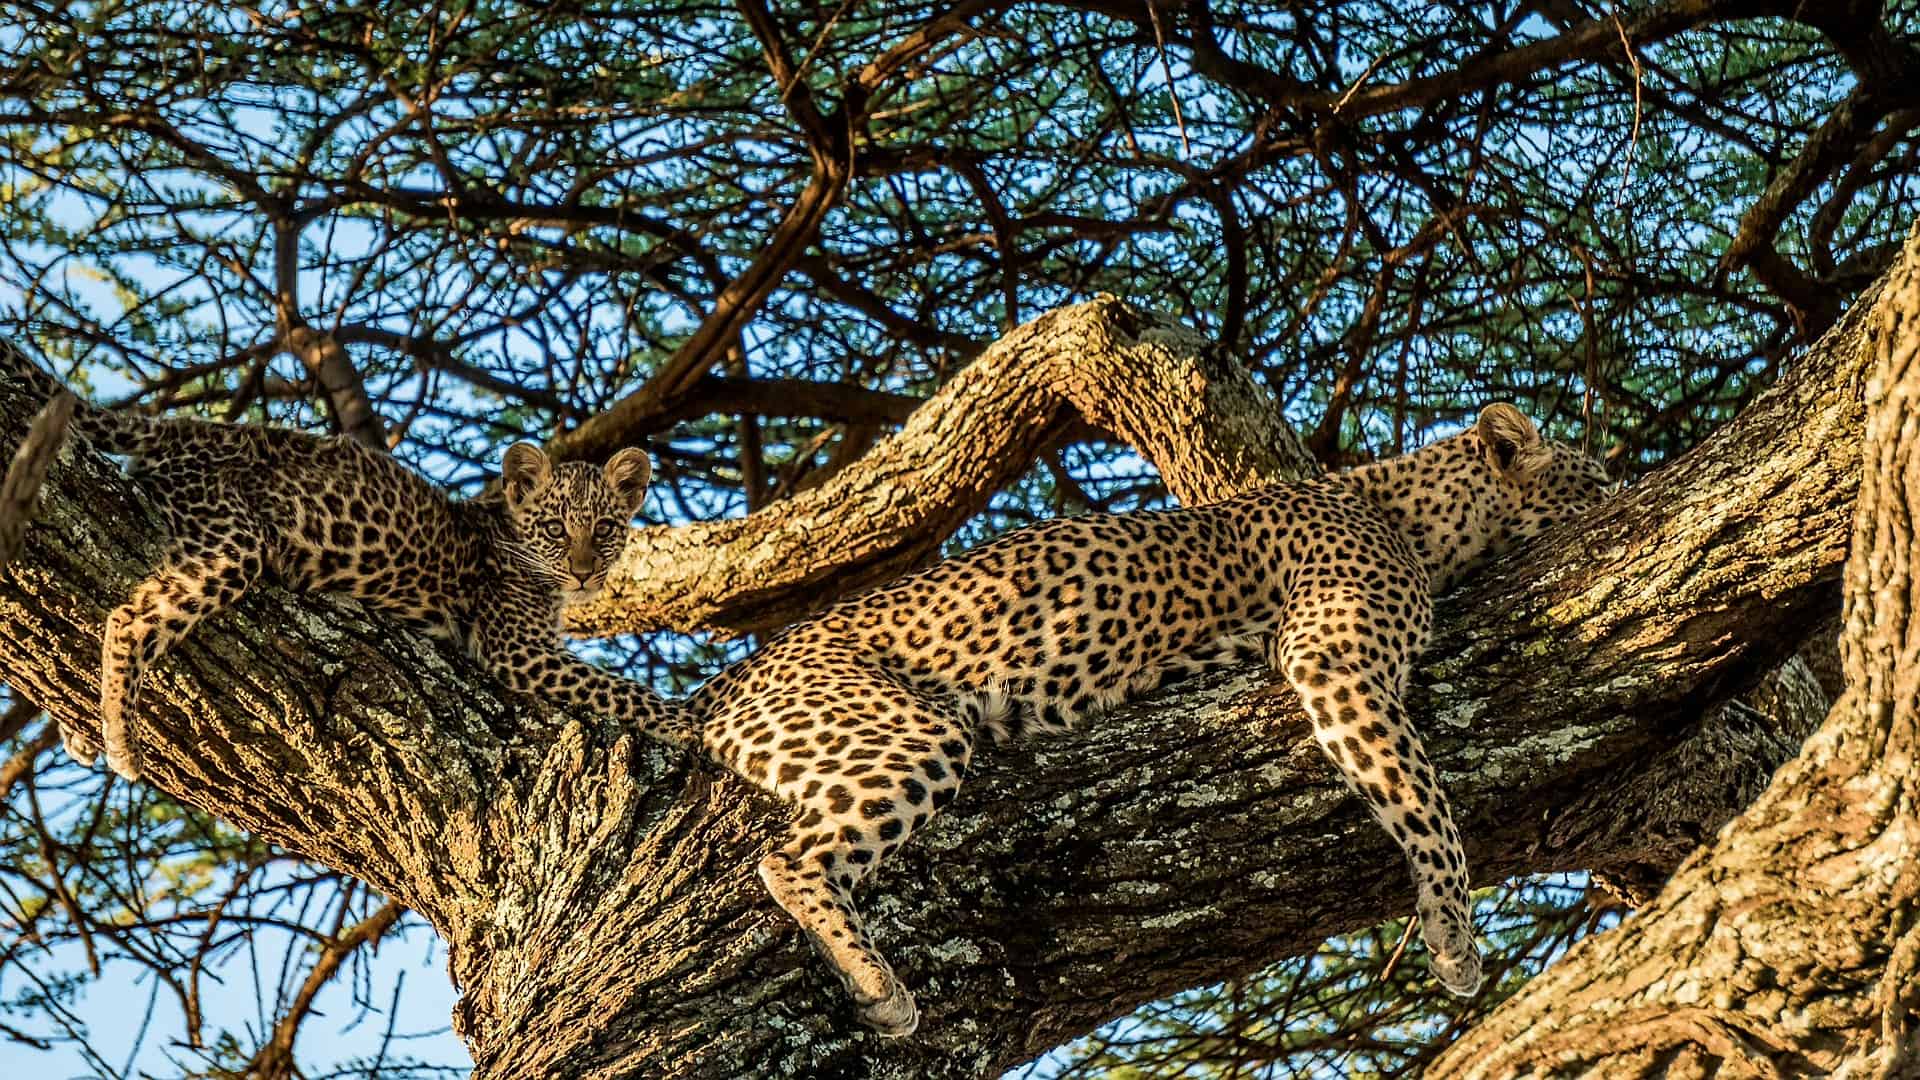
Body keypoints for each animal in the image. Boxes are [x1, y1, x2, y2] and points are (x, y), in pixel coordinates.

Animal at [1, 338, 694, 781]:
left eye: (605, 529)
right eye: (554, 528)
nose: (584, 571)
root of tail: (187, 427)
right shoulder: (514, 650)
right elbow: (620, 689)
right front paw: (693, 720)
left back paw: (85, 729)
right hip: (234, 542)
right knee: (126, 619)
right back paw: (122, 741)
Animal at [693, 403, 1612, 1036]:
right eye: (1596, 484)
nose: (1624, 485)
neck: (1414, 513)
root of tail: (721, 683)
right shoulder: (1335, 658)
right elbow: (1424, 800)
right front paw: (1454, 935)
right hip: (902, 728)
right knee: (788, 860)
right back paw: (879, 986)